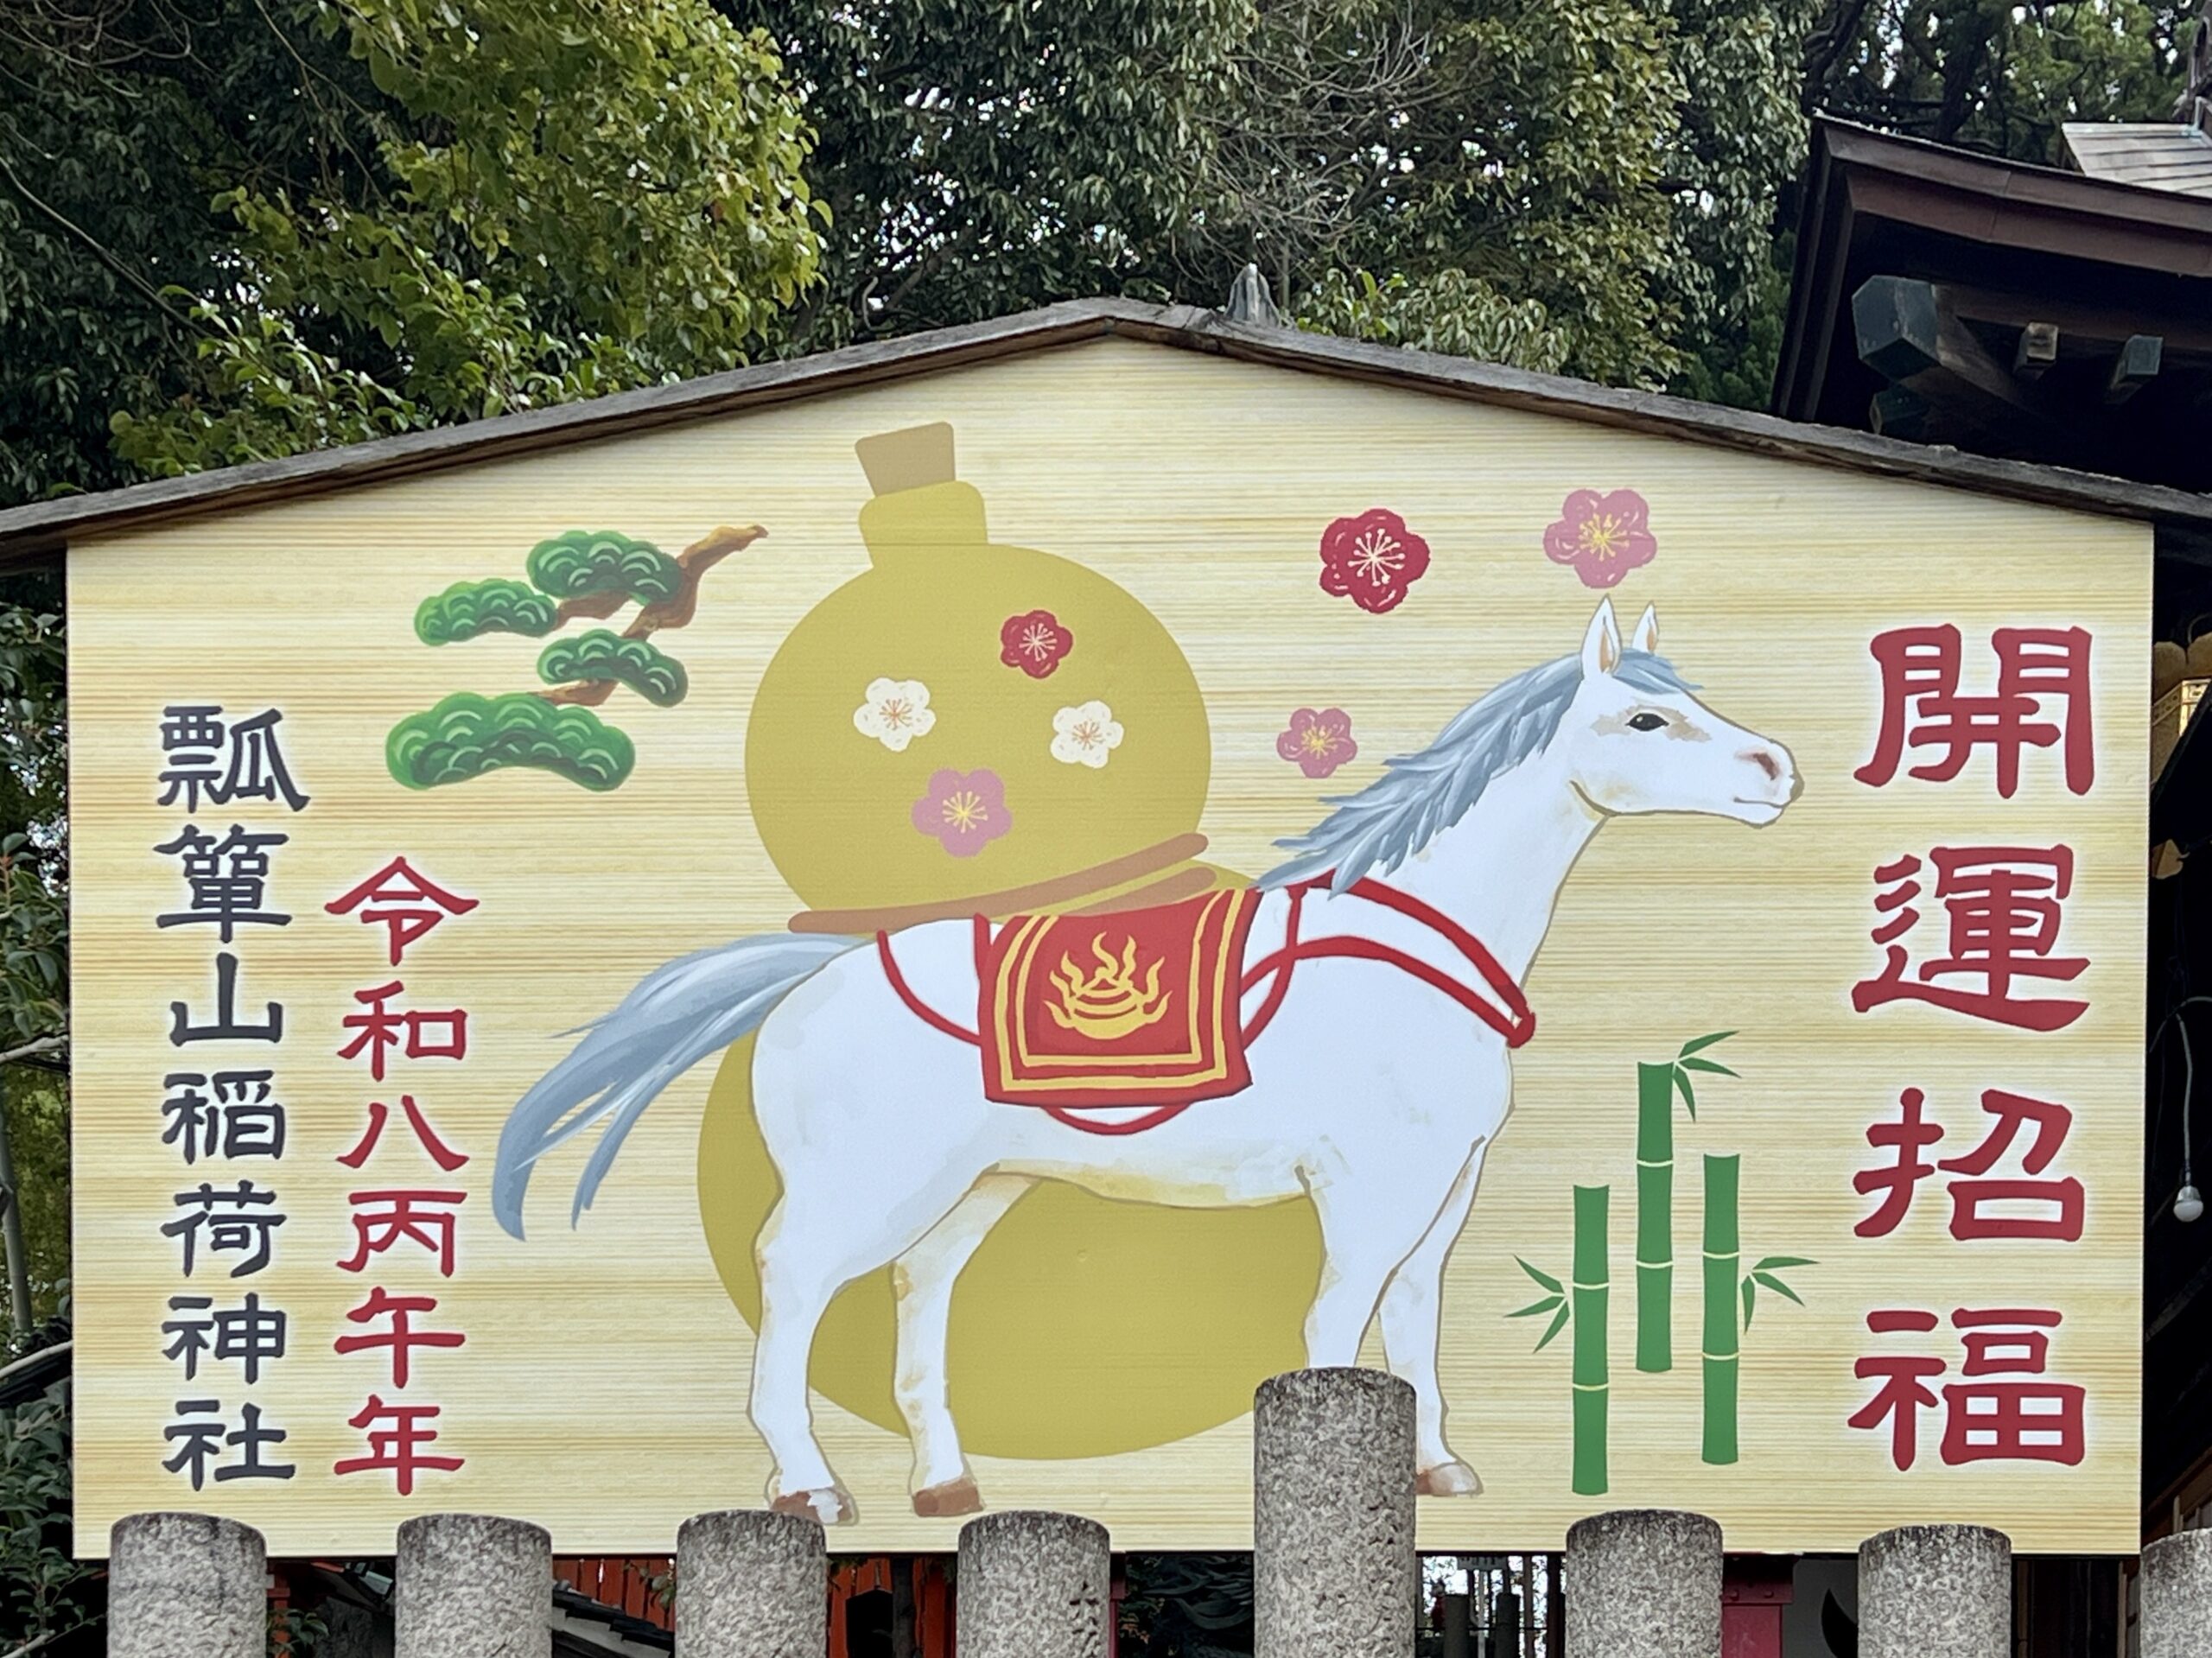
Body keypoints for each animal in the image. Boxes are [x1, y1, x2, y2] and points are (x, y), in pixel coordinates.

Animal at [492, 596, 1800, 1523]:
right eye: (1645, 719)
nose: (1778, 769)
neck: (1412, 944)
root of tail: (809, 976)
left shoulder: (1445, 1190)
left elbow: (1415, 1328)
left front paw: (1438, 1468)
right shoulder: (1370, 1190)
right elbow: (1339, 1325)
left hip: (975, 1188)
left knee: (918, 1289)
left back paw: (943, 1485)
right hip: (866, 1186)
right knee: (793, 1278)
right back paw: (809, 1483)